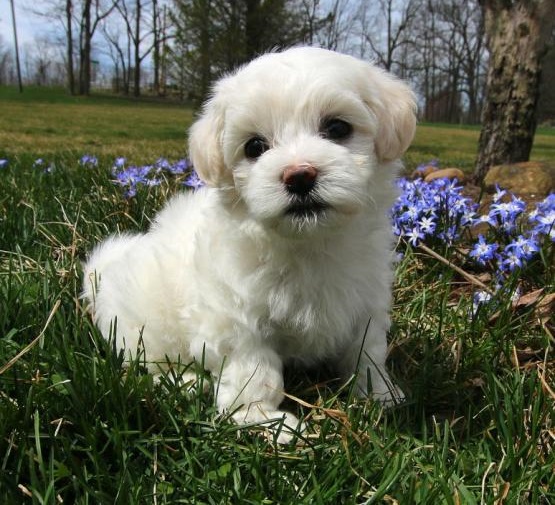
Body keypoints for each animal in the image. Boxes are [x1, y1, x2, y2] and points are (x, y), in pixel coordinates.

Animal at [83, 47, 416, 440]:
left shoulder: (366, 301)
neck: (309, 243)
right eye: (255, 146)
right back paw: (188, 382)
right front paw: (263, 421)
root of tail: (107, 271)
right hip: (147, 325)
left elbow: (367, 351)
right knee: (149, 365)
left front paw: (380, 394)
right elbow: (254, 370)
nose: (299, 175)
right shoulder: (235, 317)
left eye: (337, 128)